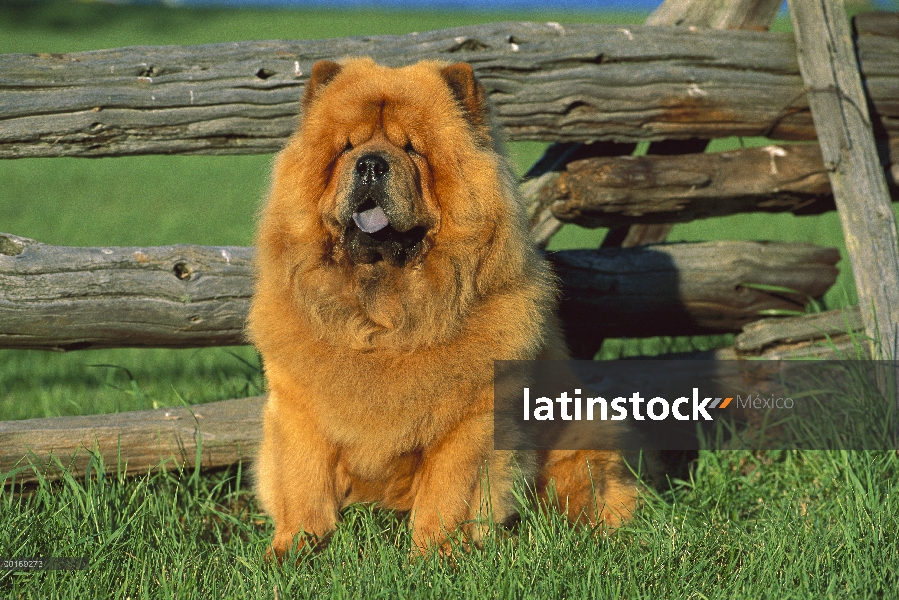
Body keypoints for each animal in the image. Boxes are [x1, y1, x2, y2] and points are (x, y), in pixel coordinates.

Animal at [246, 57, 640, 556]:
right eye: (347, 148)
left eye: (412, 149)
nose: (370, 164)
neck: (385, 320)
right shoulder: (301, 412)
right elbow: (304, 487)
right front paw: (293, 550)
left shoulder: (470, 423)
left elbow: (448, 495)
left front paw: (436, 555)